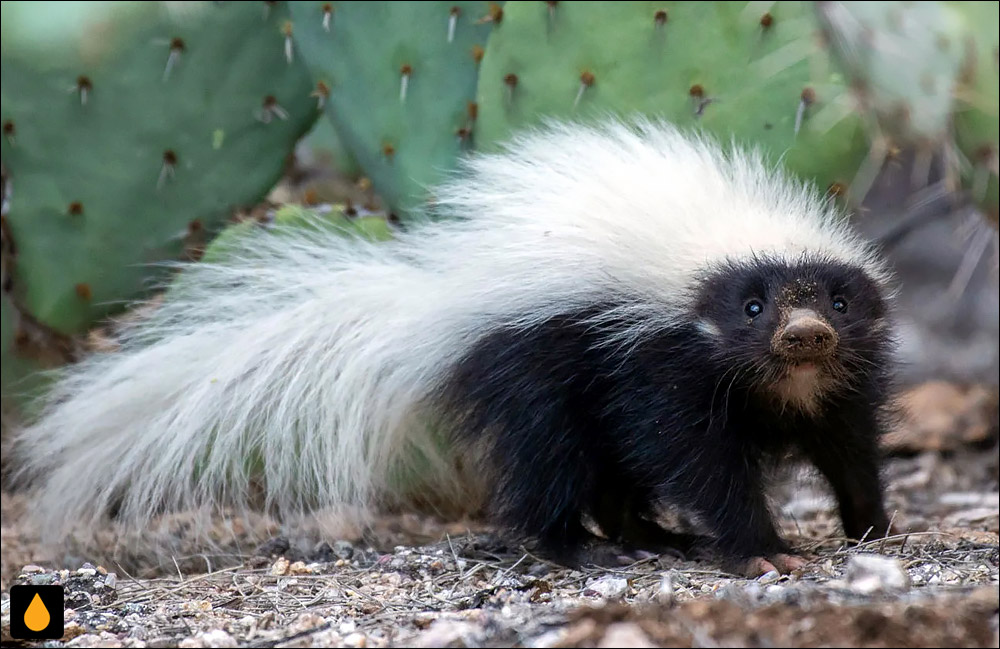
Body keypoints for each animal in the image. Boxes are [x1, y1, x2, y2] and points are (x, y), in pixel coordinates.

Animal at [9, 119, 900, 576]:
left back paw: (648, 535)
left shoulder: (839, 377)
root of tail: (433, 300)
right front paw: (761, 551)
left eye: (837, 300)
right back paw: (578, 547)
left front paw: (870, 524)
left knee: (606, 465)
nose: (804, 333)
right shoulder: (663, 356)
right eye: (752, 307)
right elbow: (696, 456)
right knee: (554, 458)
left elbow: (848, 441)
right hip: (534, 365)